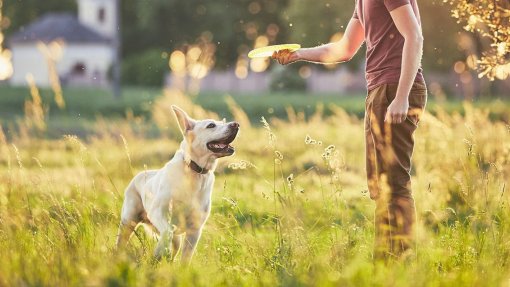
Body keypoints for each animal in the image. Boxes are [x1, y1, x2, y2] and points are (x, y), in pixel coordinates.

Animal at [116, 106, 240, 264]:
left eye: (222, 122)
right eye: (211, 125)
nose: (236, 124)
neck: (194, 172)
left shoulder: (195, 230)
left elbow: (185, 259)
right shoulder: (158, 212)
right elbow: (167, 232)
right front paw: (160, 251)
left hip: (176, 239)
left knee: (174, 249)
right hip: (128, 221)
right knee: (121, 242)